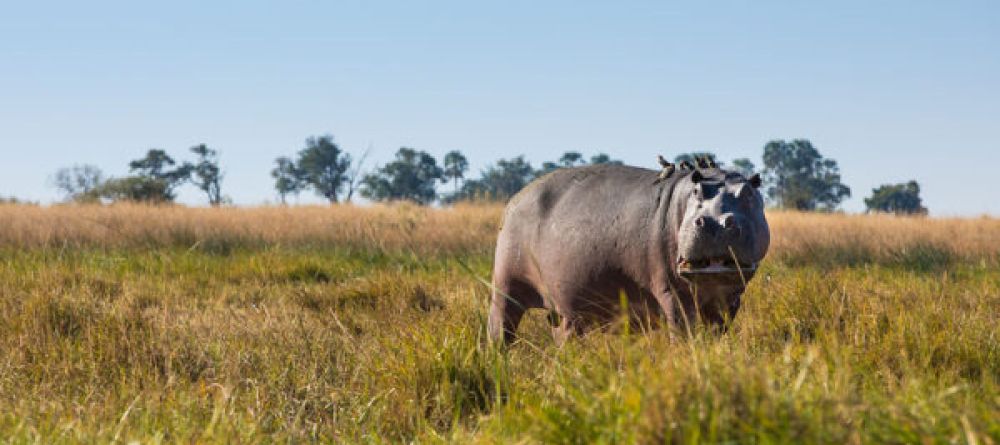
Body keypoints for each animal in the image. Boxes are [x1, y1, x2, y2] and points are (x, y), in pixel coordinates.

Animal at [488, 156, 768, 344]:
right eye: (696, 191)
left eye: (748, 193)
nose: (717, 222)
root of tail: (514, 200)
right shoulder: (671, 291)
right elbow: (681, 328)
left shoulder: (731, 297)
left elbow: (719, 329)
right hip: (505, 286)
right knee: (500, 328)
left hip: (565, 309)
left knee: (563, 334)